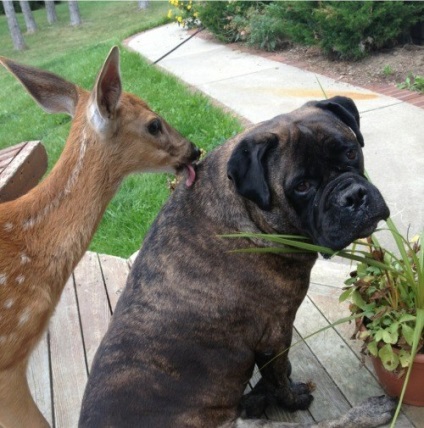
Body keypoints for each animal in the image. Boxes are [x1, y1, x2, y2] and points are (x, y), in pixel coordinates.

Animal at [79, 97, 394, 428]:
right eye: (302, 186)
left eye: (351, 152)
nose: (353, 196)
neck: (247, 212)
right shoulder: (276, 332)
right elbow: (278, 379)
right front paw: (292, 398)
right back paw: (369, 410)